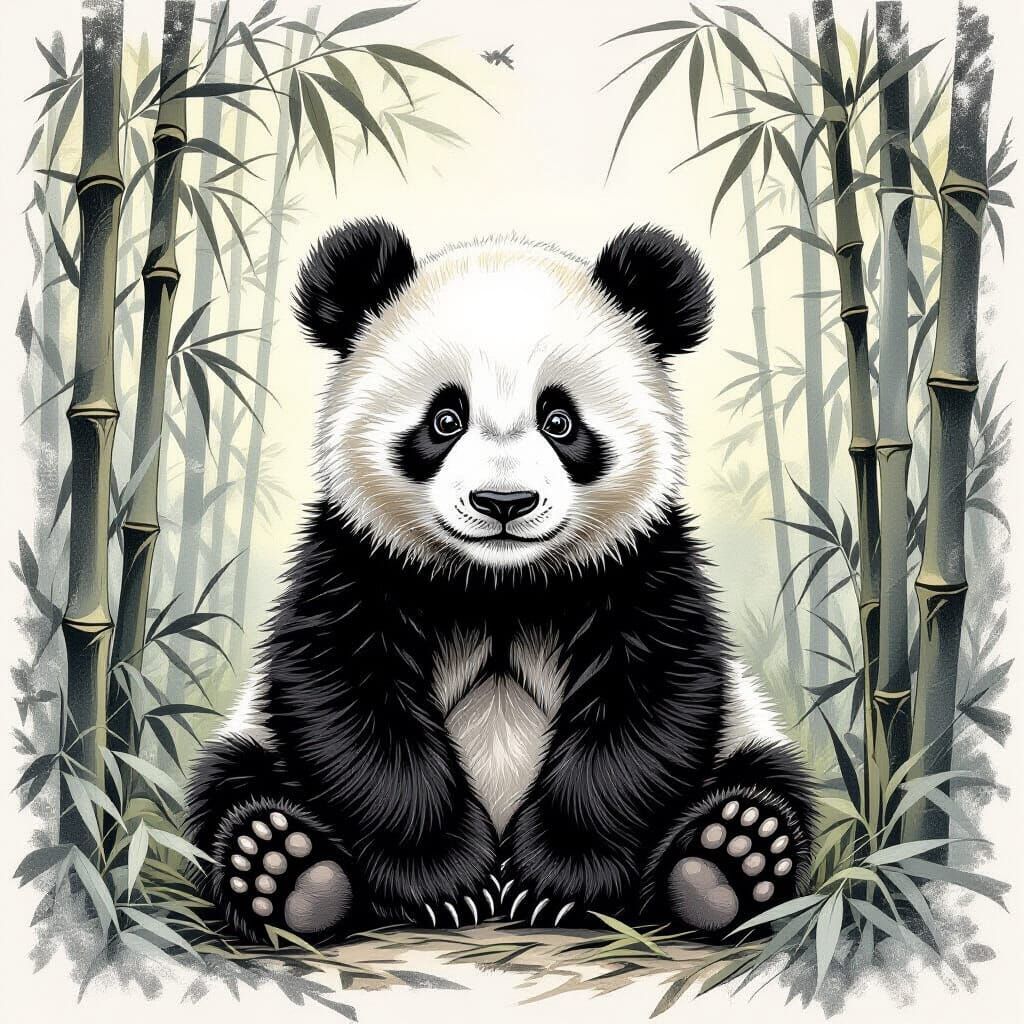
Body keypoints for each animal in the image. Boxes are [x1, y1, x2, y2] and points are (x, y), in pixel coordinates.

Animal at [185, 219, 816, 944]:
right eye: (445, 419)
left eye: (560, 421)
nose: (504, 503)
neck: (499, 585)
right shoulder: (357, 559)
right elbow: (346, 698)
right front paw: (443, 881)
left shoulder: (640, 564)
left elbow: (648, 702)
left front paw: (554, 881)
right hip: (254, 737)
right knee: (230, 784)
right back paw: (286, 868)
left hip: (745, 731)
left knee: (768, 781)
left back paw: (728, 859)